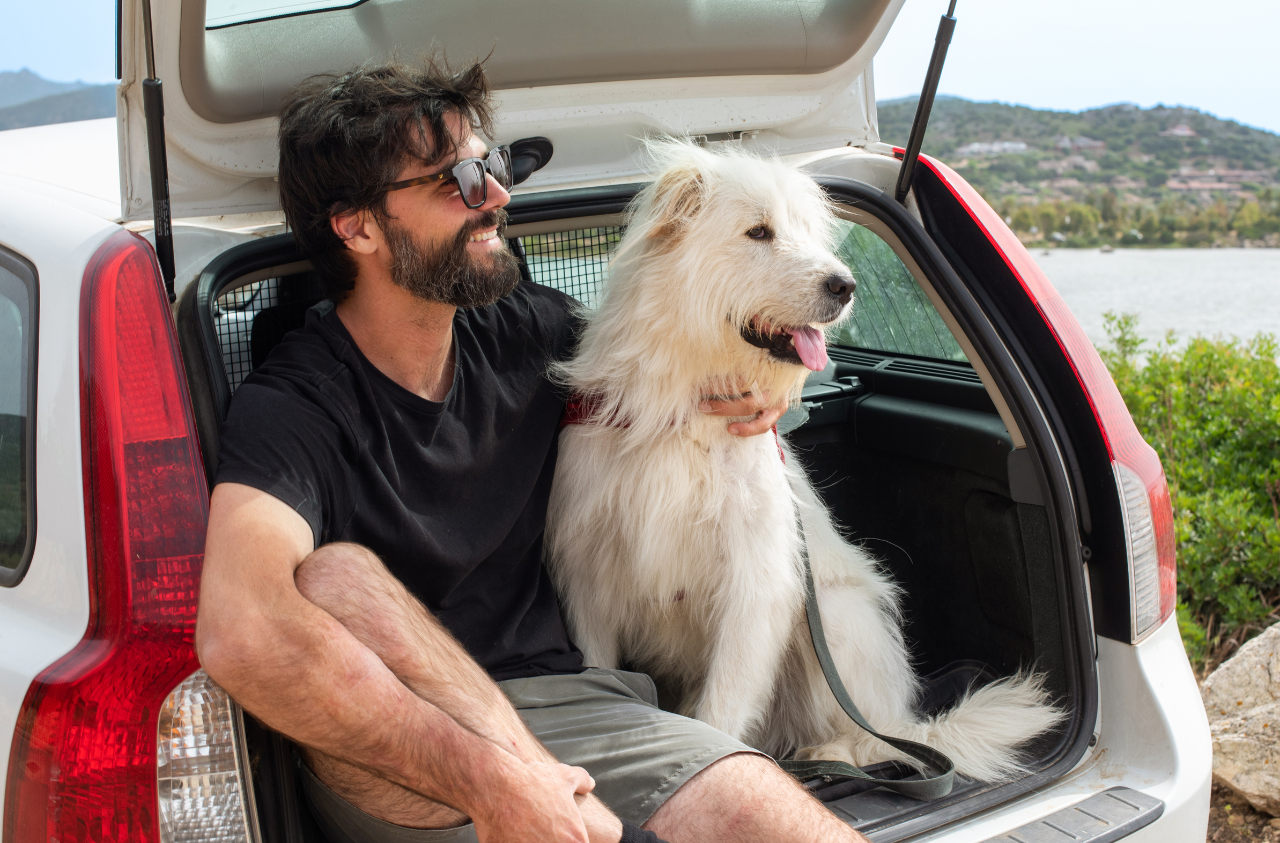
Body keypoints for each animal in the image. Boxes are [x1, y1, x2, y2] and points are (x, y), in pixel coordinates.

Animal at [545, 140, 1064, 782]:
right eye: (759, 231)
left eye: (806, 231)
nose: (846, 286)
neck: (688, 407)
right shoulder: (590, 572)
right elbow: (604, 669)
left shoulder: (757, 578)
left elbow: (722, 710)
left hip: (836, 618)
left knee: (880, 740)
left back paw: (831, 754)